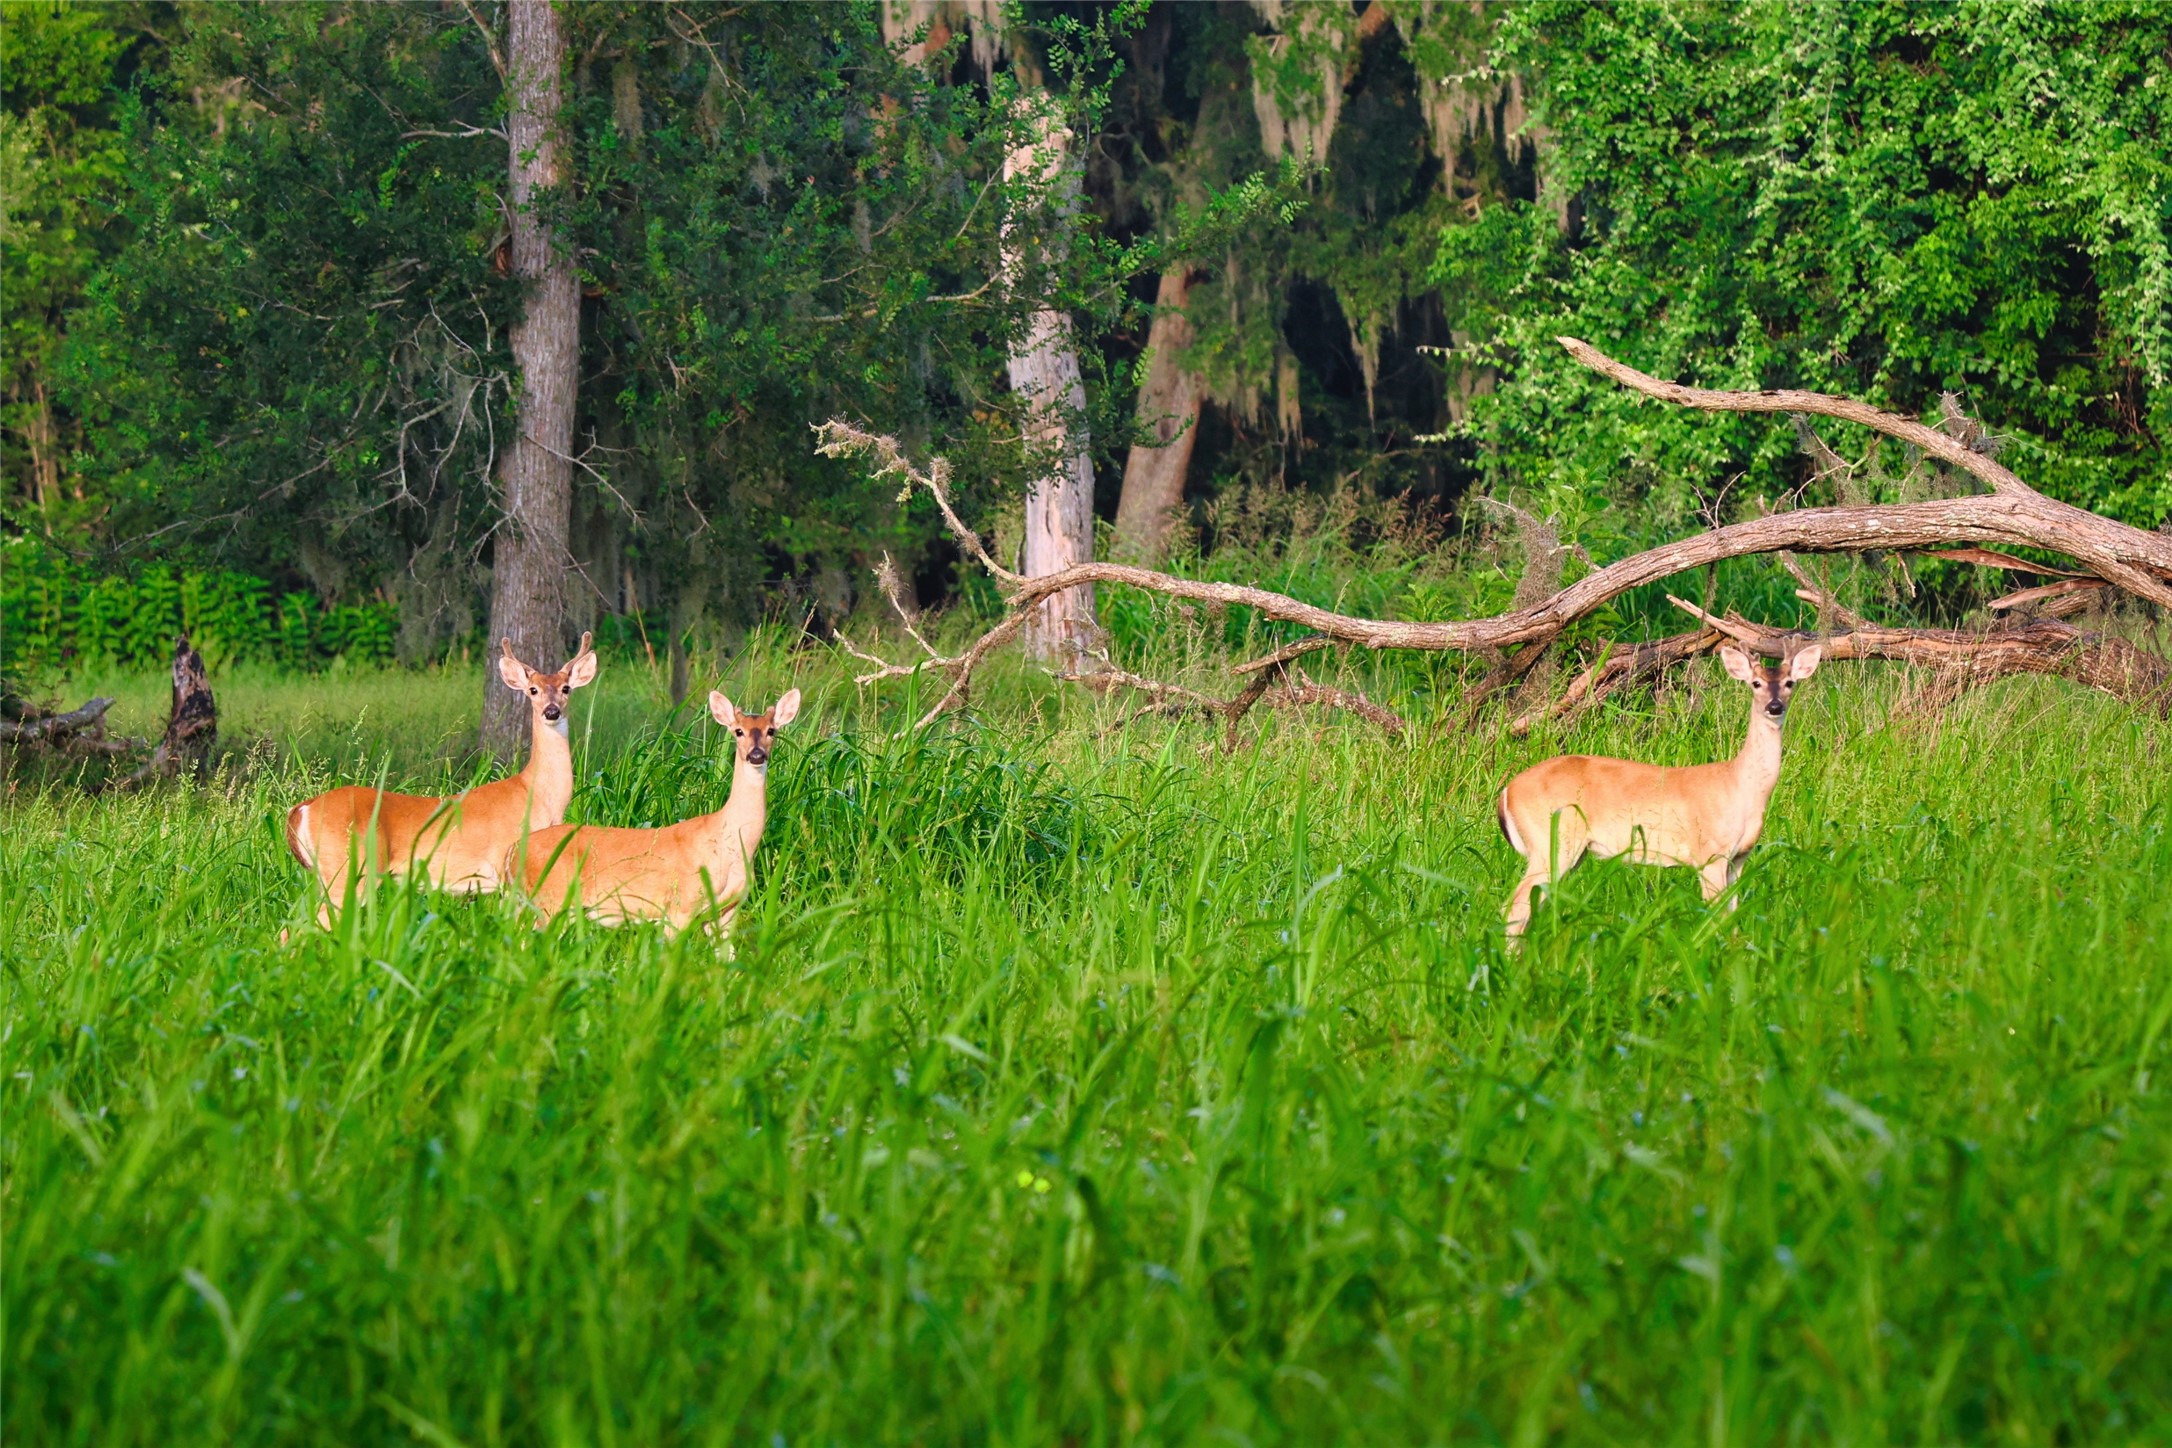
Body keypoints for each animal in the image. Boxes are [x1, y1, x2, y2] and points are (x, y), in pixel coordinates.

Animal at [285, 633, 598, 927]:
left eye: (566, 688)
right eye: (533, 690)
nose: (551, 711)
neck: (537, 795)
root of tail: (302, 809)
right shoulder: (508, 867)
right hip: (348, 869)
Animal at [507, 687, 800, 939]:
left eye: (771, 730)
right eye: (738, 731)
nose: (756, 755)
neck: (730, 842)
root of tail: (512, 853)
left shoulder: (727, 912)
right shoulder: (679, 906)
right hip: (549, 900)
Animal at [1497, 641, 1823, 942]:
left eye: (1789, 682)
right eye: (1755, 683)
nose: (1774, 706)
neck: (1740, 787)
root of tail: (1507, 791)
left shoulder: (1740, 857)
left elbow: (1732, 917)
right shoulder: (1709, 852)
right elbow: (1715, 917)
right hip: (1551, 839)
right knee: (1514, 907)